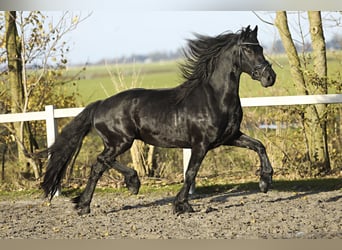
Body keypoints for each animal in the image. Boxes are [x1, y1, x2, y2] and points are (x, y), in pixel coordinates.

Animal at [42, 26, 276, 216]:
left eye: (261, 48)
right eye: (248, 50)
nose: (270, 77)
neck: (215, 98)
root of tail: (99, 105)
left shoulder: (230, 137)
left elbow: (259, 146)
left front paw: (265, 182)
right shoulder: (200, 144)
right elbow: (190, 173)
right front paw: (181, 205)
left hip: (117, 143)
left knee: (100, 164)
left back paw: (100, 198)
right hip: (120, 141)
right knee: (100, 162)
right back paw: (118, 189)